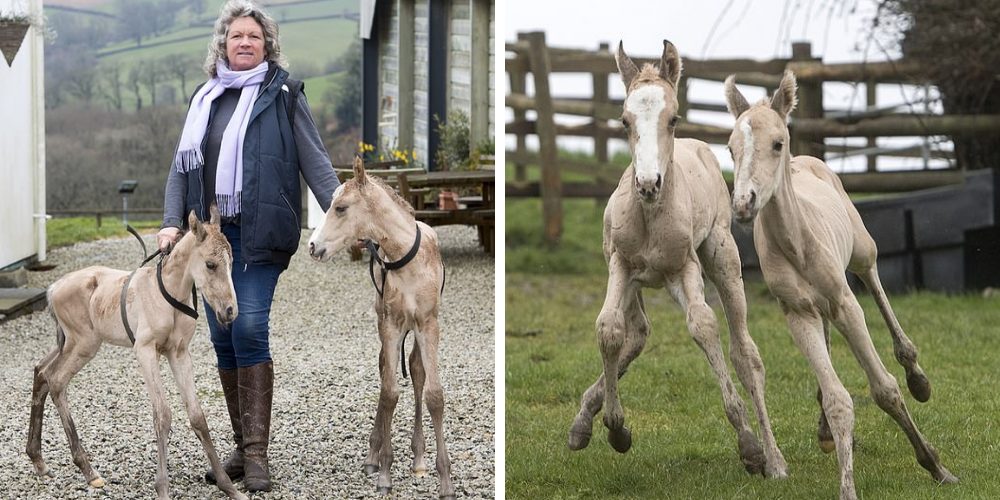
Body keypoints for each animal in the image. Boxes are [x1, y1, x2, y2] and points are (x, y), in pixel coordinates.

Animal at [26, 208, 246, 500]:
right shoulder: (145, 351)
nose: (230, 311)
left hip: (70, 343)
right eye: (210, 264)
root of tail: (53, 288)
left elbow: (197, 415)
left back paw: (38, 460)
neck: (167, 296)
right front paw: (162, 488)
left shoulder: (179, 353)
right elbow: (162, 414)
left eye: (232, 262)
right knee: (57, 381)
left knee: (41, 371)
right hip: (84, 344)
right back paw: (88, 470)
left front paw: (228, 486)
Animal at [304, 158, 454, 498]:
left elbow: (434, 394)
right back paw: (374, 455)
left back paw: (419, 458)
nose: (312, 246)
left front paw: (446, 480)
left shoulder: (429, 324)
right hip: (383, 323)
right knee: (386, 369)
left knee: (416, 370)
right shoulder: (390, 325)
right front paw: (384, 471)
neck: (406, 259)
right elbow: (389, 393)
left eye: (341, 208)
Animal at [572, 41, 788, 478]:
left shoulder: (687, 267)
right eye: (624, 120)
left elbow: (704, 327)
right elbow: (609, 329)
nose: (648, 183)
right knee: (637, 331)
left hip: (719, 259)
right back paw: (585, 419)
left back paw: (774, 459)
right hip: (639, 277)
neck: (651, 214)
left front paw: (749, 445)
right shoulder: (619, 263)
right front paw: (614, 427)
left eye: (673, 118)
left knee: (744, 353)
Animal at [728, 71, 960, 500]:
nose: (743, 204)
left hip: (861, 250)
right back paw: (824, 431)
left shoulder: (846, 304)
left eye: (777, 143)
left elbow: (884, 389)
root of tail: (807, 161)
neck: (797, 245)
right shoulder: (797, 313)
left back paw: (916, 375)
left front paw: (937, 466)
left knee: (873, 279)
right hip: (818, 305)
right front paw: (846, 479)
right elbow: (839, 399)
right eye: (731, 147)